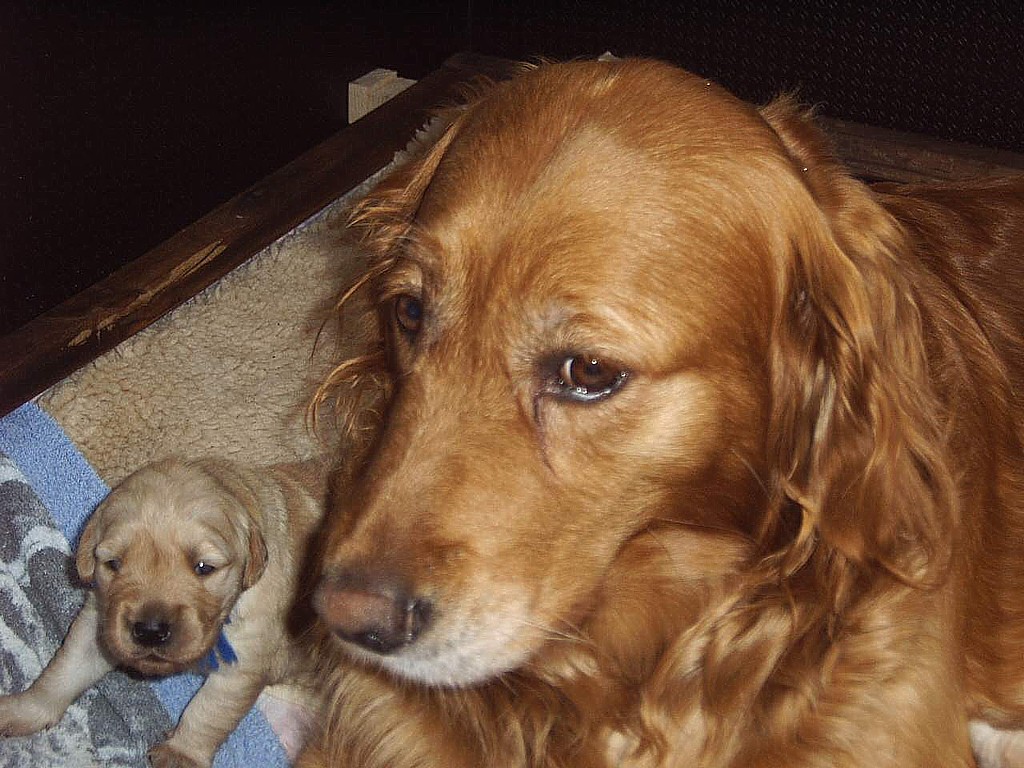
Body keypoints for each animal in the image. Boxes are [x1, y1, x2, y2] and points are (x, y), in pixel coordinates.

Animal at [0, 457, 326, 768]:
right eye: (114, 564)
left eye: (204, 567)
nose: (150, 631)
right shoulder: (99, 621)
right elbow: (63, 671)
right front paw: (26, 708)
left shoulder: (243, 662)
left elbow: (207, 711)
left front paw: (180, 753)